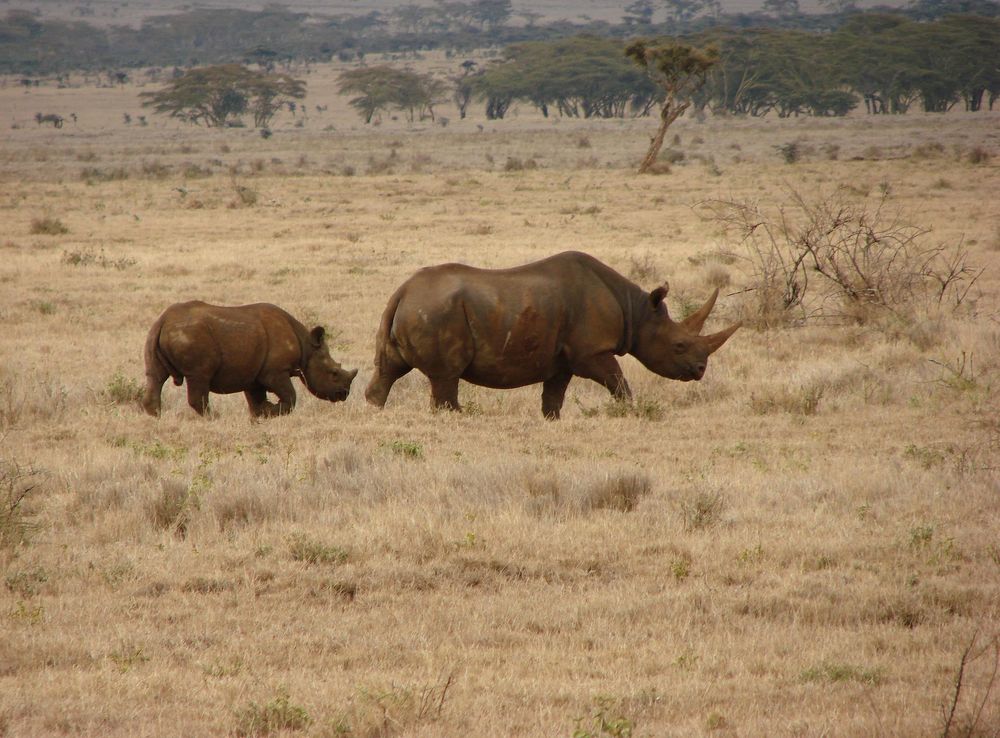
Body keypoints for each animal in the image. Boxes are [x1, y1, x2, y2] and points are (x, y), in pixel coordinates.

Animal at [142, 301, 357, 417]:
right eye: (334, 373)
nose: (343, 394)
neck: (306, 347)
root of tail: (164, 321)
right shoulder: (275, 371)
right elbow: (291, 397)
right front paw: (271, 410)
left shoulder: (254, 374)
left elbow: (255, 401)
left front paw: (262, 414)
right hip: (191, 336)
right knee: (199, 377)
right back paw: (215, 418)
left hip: (155, 334)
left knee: (155, 376)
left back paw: (156, 417)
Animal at [365, 251, 740, 419]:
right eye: (679, 345)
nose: (700, 371)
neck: (637, 311)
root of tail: (403, 291)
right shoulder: (591, 352)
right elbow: (619, 383)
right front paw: (629, 412)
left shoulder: (561, 359)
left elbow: (553, 396)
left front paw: (552, 419)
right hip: (437, 310)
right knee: (446, 377)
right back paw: (457, 416)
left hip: (417, 309)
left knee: (389, 369)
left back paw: (376, 410)